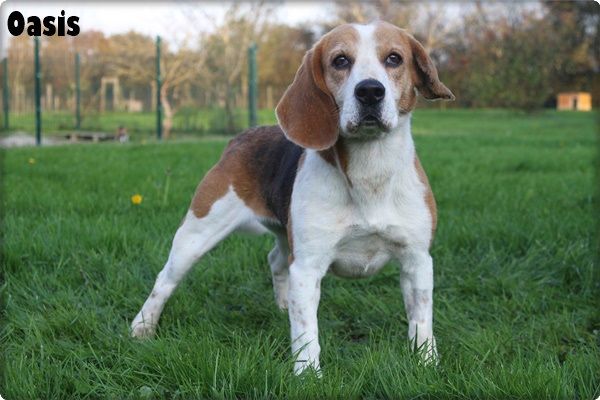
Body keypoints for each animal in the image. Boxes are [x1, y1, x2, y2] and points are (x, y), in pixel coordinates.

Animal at [130, 21, 450, 376]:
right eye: (340, 60)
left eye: (394, 58)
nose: (369, 91)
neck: (371, 172)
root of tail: (242, 136)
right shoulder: (308, 267)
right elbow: (307, 332)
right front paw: (309, 375)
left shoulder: (417, 260)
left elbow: (421, 321)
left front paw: (426, 363)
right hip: (196, 235)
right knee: (165, 280)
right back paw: (142, 327)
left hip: (284, 236)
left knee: (275, 260)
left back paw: (282, 306)